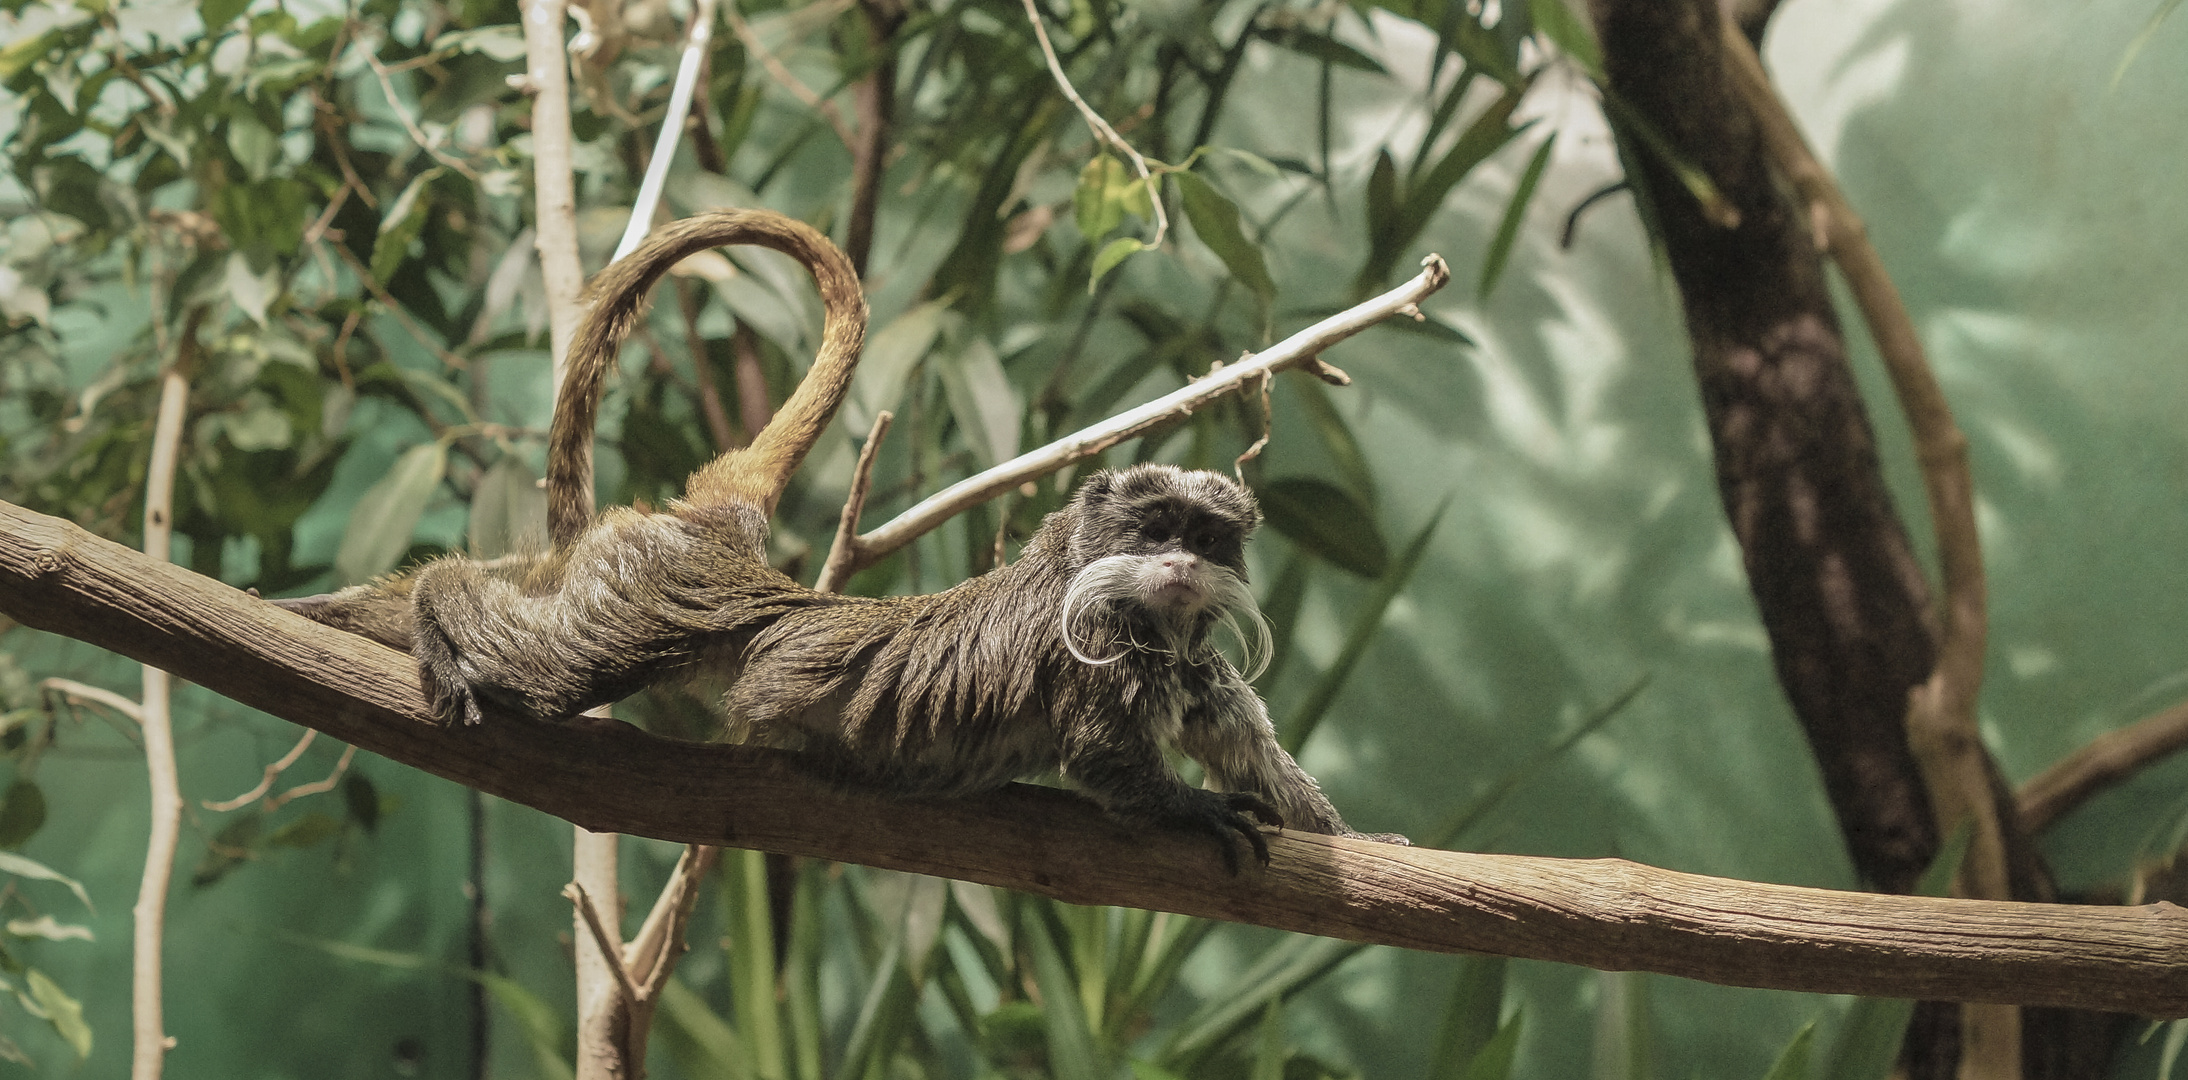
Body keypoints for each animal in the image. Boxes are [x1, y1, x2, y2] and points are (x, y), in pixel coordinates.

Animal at [286, 208, 1400, 870]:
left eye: (1208, 538)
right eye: (1156, 524)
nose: (1176, 564)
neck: (1132, 612)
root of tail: (720, 535)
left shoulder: (1195, 663)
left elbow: (1256, 754)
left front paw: (1356, 833)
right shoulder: (1094, 652)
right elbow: (1105, 762)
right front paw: (1193, 813)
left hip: (616, 567)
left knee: (537, 590)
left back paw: (348, 610)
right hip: (645, 604)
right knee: (553, 661)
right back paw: (434, 621)